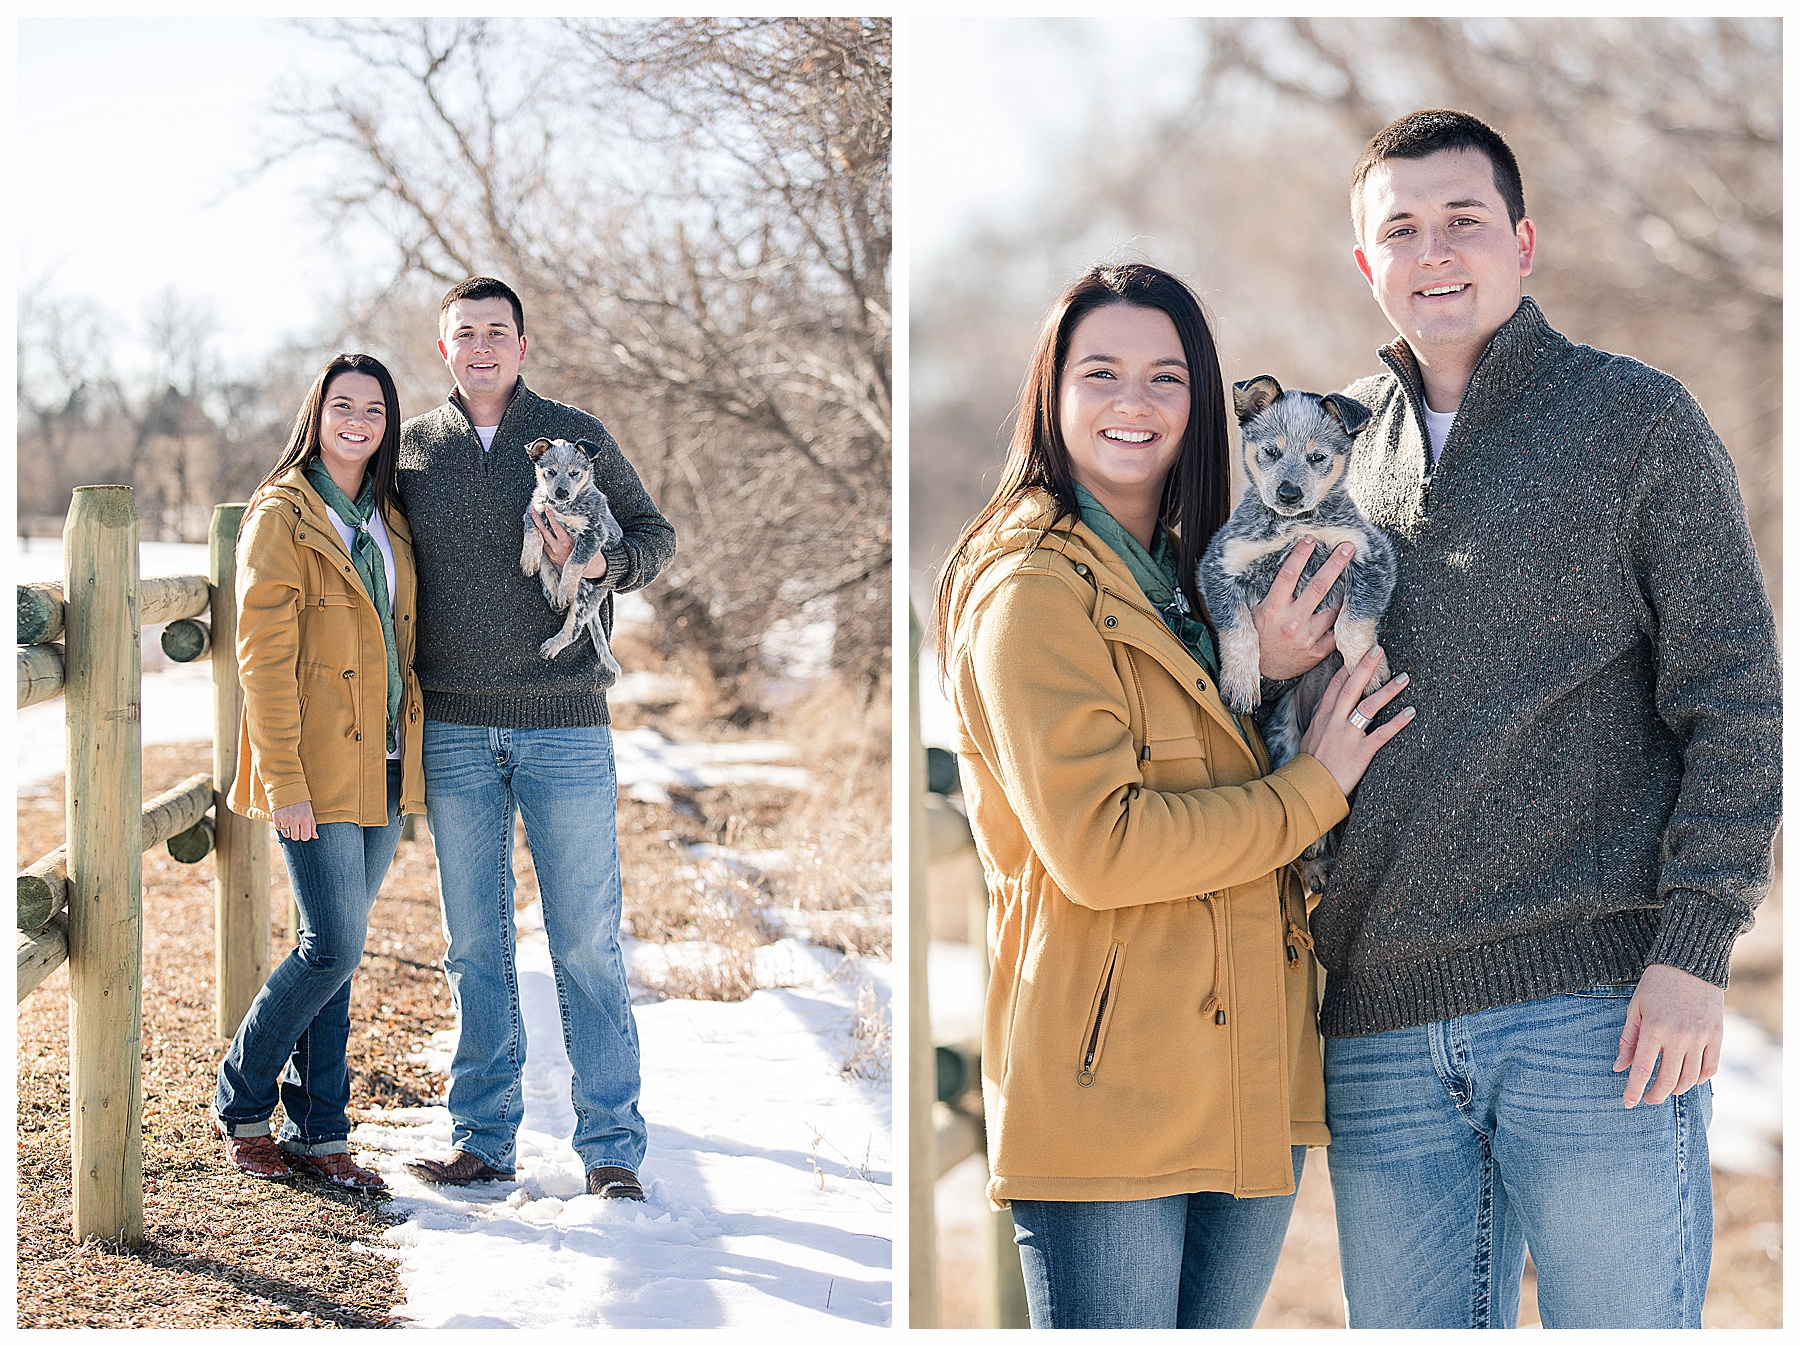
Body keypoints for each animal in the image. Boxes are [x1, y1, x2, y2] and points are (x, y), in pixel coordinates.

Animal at [1202, 372, 1396, 892]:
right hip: (1284, 737)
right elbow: (1238, 630)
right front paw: (1240, 682)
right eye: (1271, 451)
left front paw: (1369, 670)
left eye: (1317, 457)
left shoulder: (1370, 555)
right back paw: (1311, 860)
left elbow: (1352, 626)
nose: (1289, 492)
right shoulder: (1220, 566)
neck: (1292, 528)